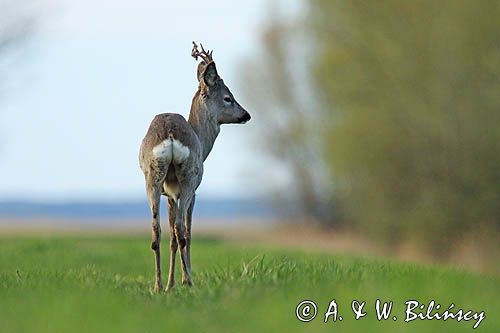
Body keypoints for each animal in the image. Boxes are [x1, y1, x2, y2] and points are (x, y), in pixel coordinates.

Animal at [139, 42, 250, 290]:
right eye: (228, 98)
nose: (246, 114)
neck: (201, 138)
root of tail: (170, 133)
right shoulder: (192, 190)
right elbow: (187, 232)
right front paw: (181, 279)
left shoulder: (169, 194)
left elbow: (171, 236)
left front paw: (170, 284)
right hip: (188, 176)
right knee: (182, 230)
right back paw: (188, 281)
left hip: (152, 176)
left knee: (157, 230)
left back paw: (158, 286)